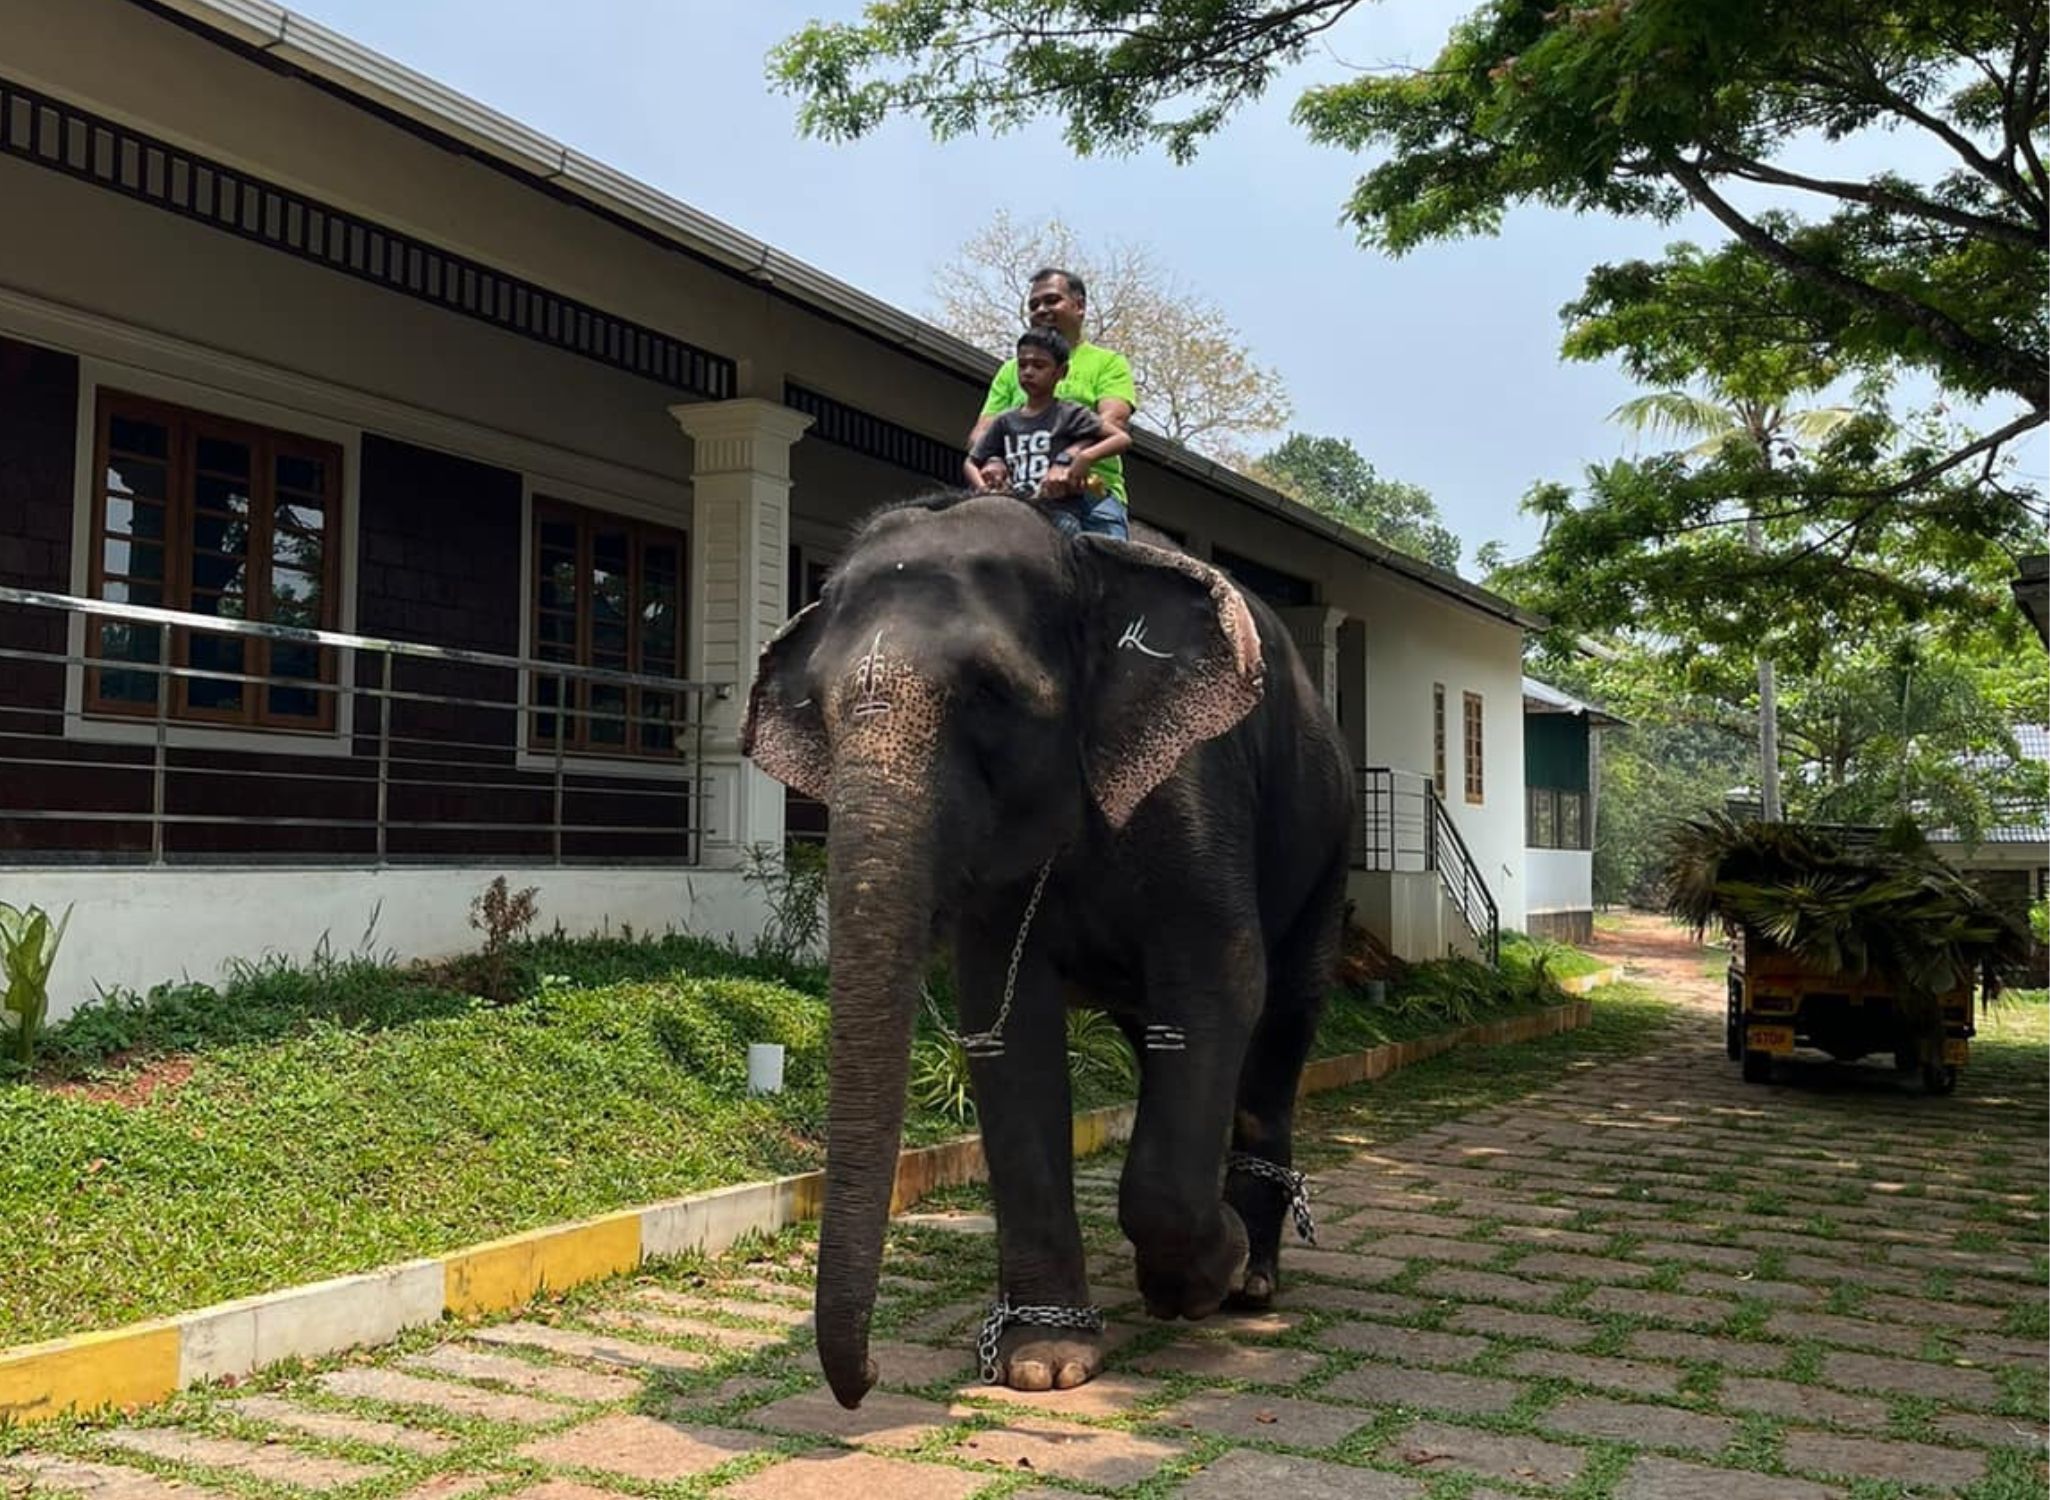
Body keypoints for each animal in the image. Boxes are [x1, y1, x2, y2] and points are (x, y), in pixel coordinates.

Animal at [746, 491, 1353, 1409]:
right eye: (815, 707)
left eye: (992, 693)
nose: (868, 1379)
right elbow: (1004, 1025)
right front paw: (1044, 1360)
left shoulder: (1194, 783)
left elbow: (1219, 980)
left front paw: (1201, 1276)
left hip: (1327, 842)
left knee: (1283, 1015)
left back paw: (1254, 1281)